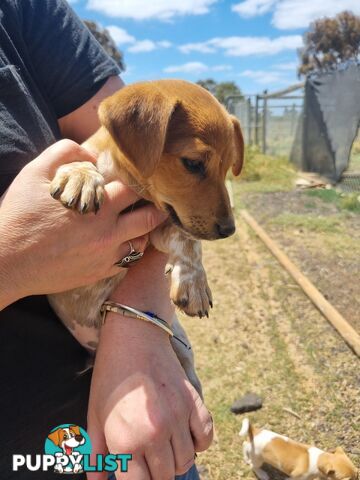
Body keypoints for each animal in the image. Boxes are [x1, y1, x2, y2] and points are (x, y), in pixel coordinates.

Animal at [47, 79, 245, 394]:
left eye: (227, 167)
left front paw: (195, 283)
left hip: (183, 349)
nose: (229, 230)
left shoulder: (161, 226)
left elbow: (188, 241)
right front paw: (80, 175)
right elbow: (80, 159)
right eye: (193, 163)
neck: (129, 182)